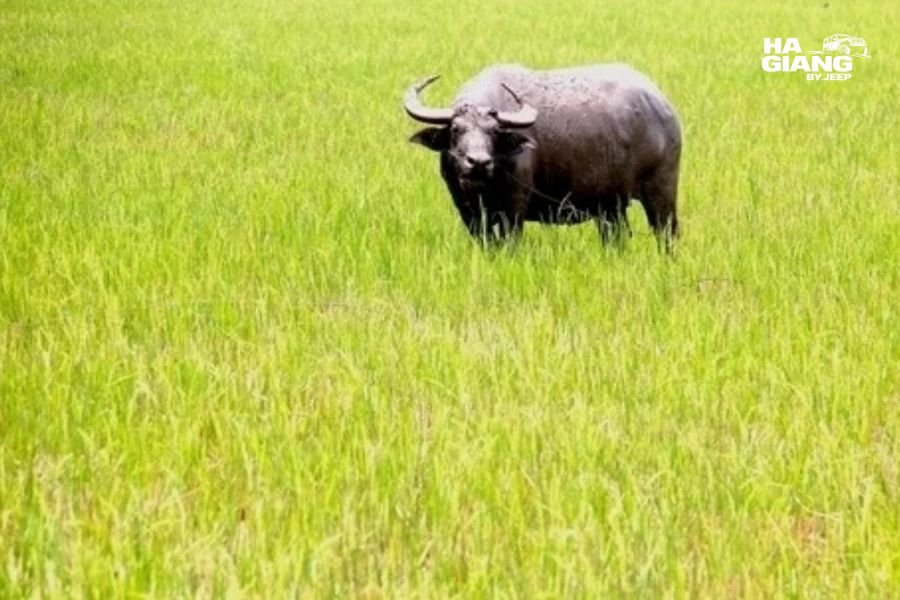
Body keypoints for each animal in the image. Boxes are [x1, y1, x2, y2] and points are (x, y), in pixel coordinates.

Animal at [404, 63, 682, 249]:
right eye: (455, 129)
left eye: (494, 131)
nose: (479, 163)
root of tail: (662, 106)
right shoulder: (466, 209)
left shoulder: (514, 205)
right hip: (610, 207)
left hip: (661, 192)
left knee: (666, 234)